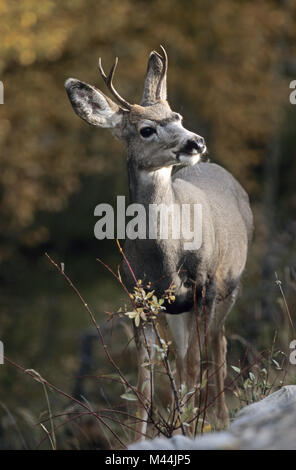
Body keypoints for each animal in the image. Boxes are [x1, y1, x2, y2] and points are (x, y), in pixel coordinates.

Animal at [65, 46, 252, 440]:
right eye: (146, 129)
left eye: (176, 114)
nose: (196, 142)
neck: (165, 259)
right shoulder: (139, 298)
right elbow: (145, 382)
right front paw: (146, 436)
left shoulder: (205, 287)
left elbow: (196, 365)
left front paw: (191, 428)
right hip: (178, 311)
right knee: (181, 359)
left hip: (230, 286)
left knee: (218, 346)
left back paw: (220, 418)